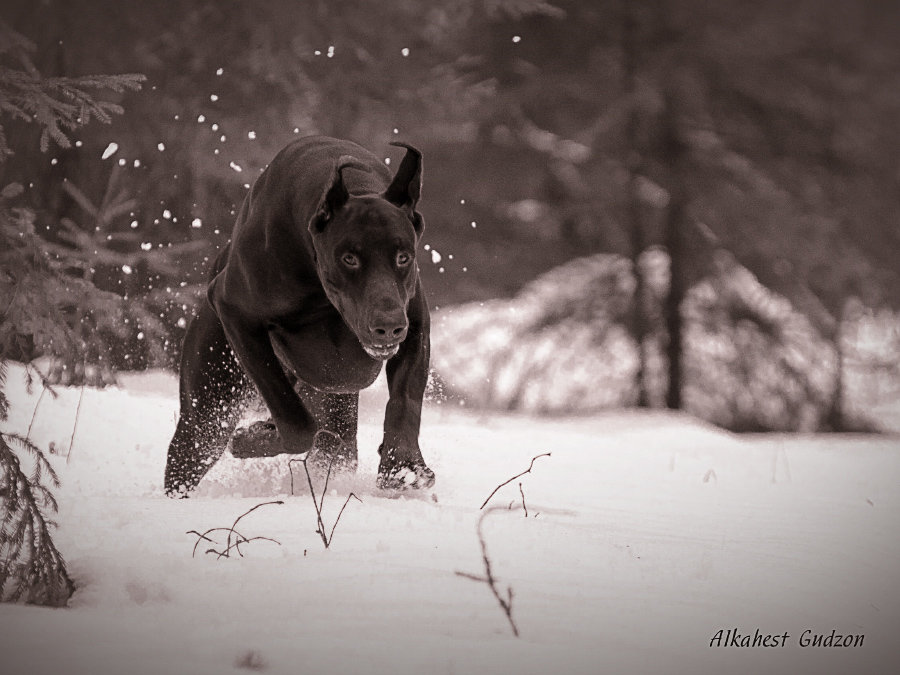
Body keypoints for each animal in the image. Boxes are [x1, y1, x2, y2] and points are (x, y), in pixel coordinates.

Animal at [167, 136, 438, 496]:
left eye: (403, 256)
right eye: (349, 258)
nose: (388, 327)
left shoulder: (415, 326)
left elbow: (405, 401)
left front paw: (403, 467)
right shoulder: (235, 312)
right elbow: (295, 420)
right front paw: (252, 438)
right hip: (210, 403)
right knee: (192, 451)